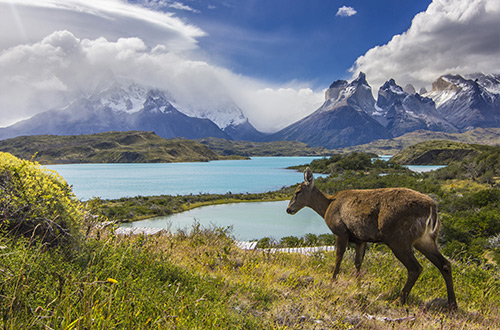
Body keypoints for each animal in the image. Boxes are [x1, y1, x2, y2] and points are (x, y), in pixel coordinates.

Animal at [286, 169, 458, 308]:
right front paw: (358, 286)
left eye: (298, 191)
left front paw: (333, 281)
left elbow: (338, 257)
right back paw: (452, 304)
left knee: (415, 267)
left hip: (398, 238)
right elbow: (358, 262)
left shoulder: (341, 231)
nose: (288, 209)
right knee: (445, 264)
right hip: (425, 239)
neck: (327, 207)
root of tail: (432, 209)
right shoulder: (361, 238)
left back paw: (399, 300)